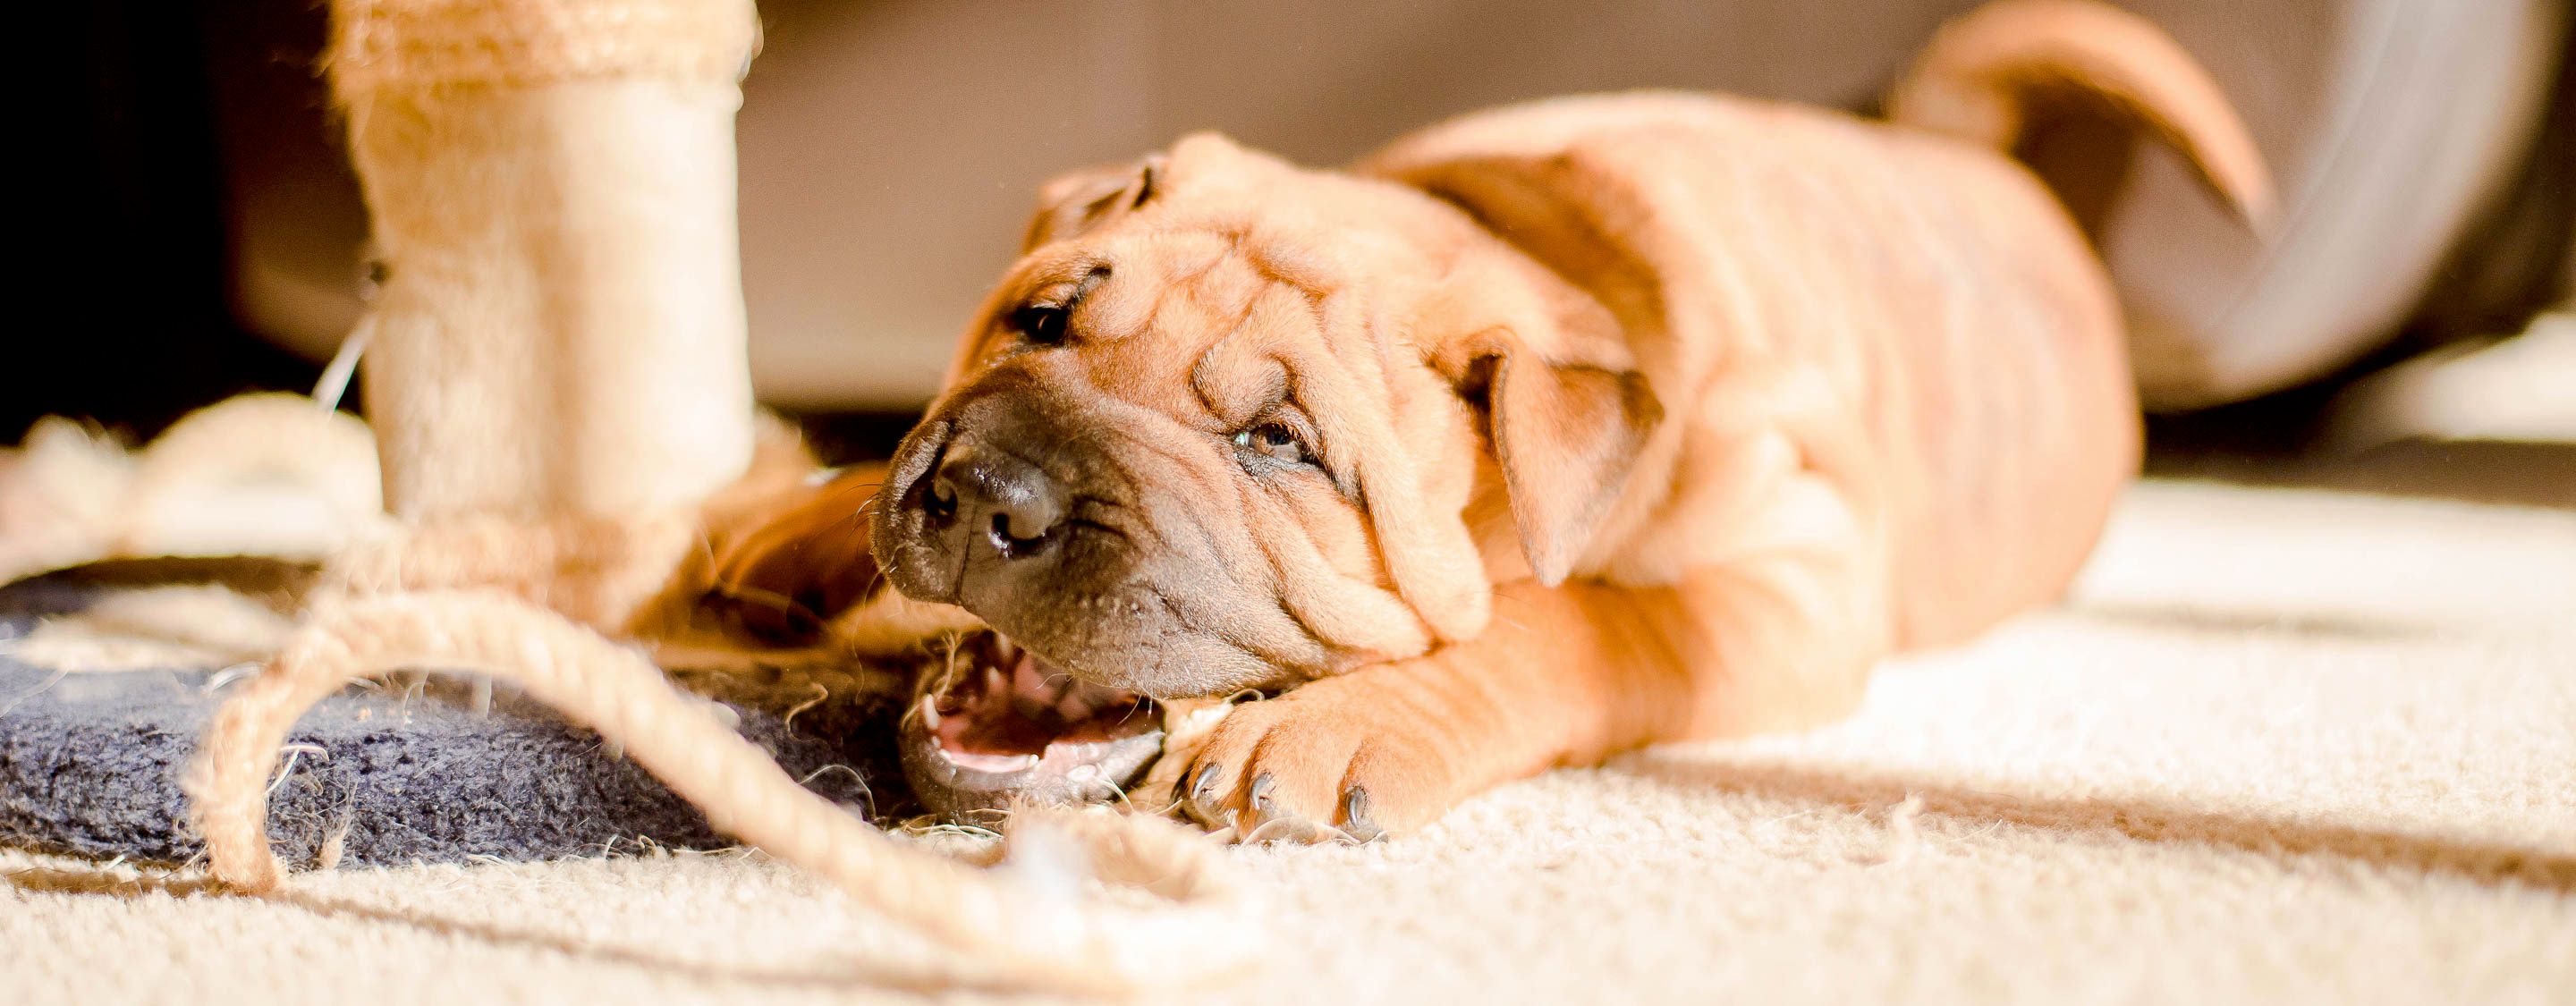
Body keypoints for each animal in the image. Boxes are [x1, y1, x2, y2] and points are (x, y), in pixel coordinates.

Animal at [716, 0, 2267, 843]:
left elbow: (1577, 623)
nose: (994, 495)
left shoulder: (1793, 575)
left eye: (1278, 445)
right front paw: (770, 527)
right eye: (1041, 323)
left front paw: (1332, 733)